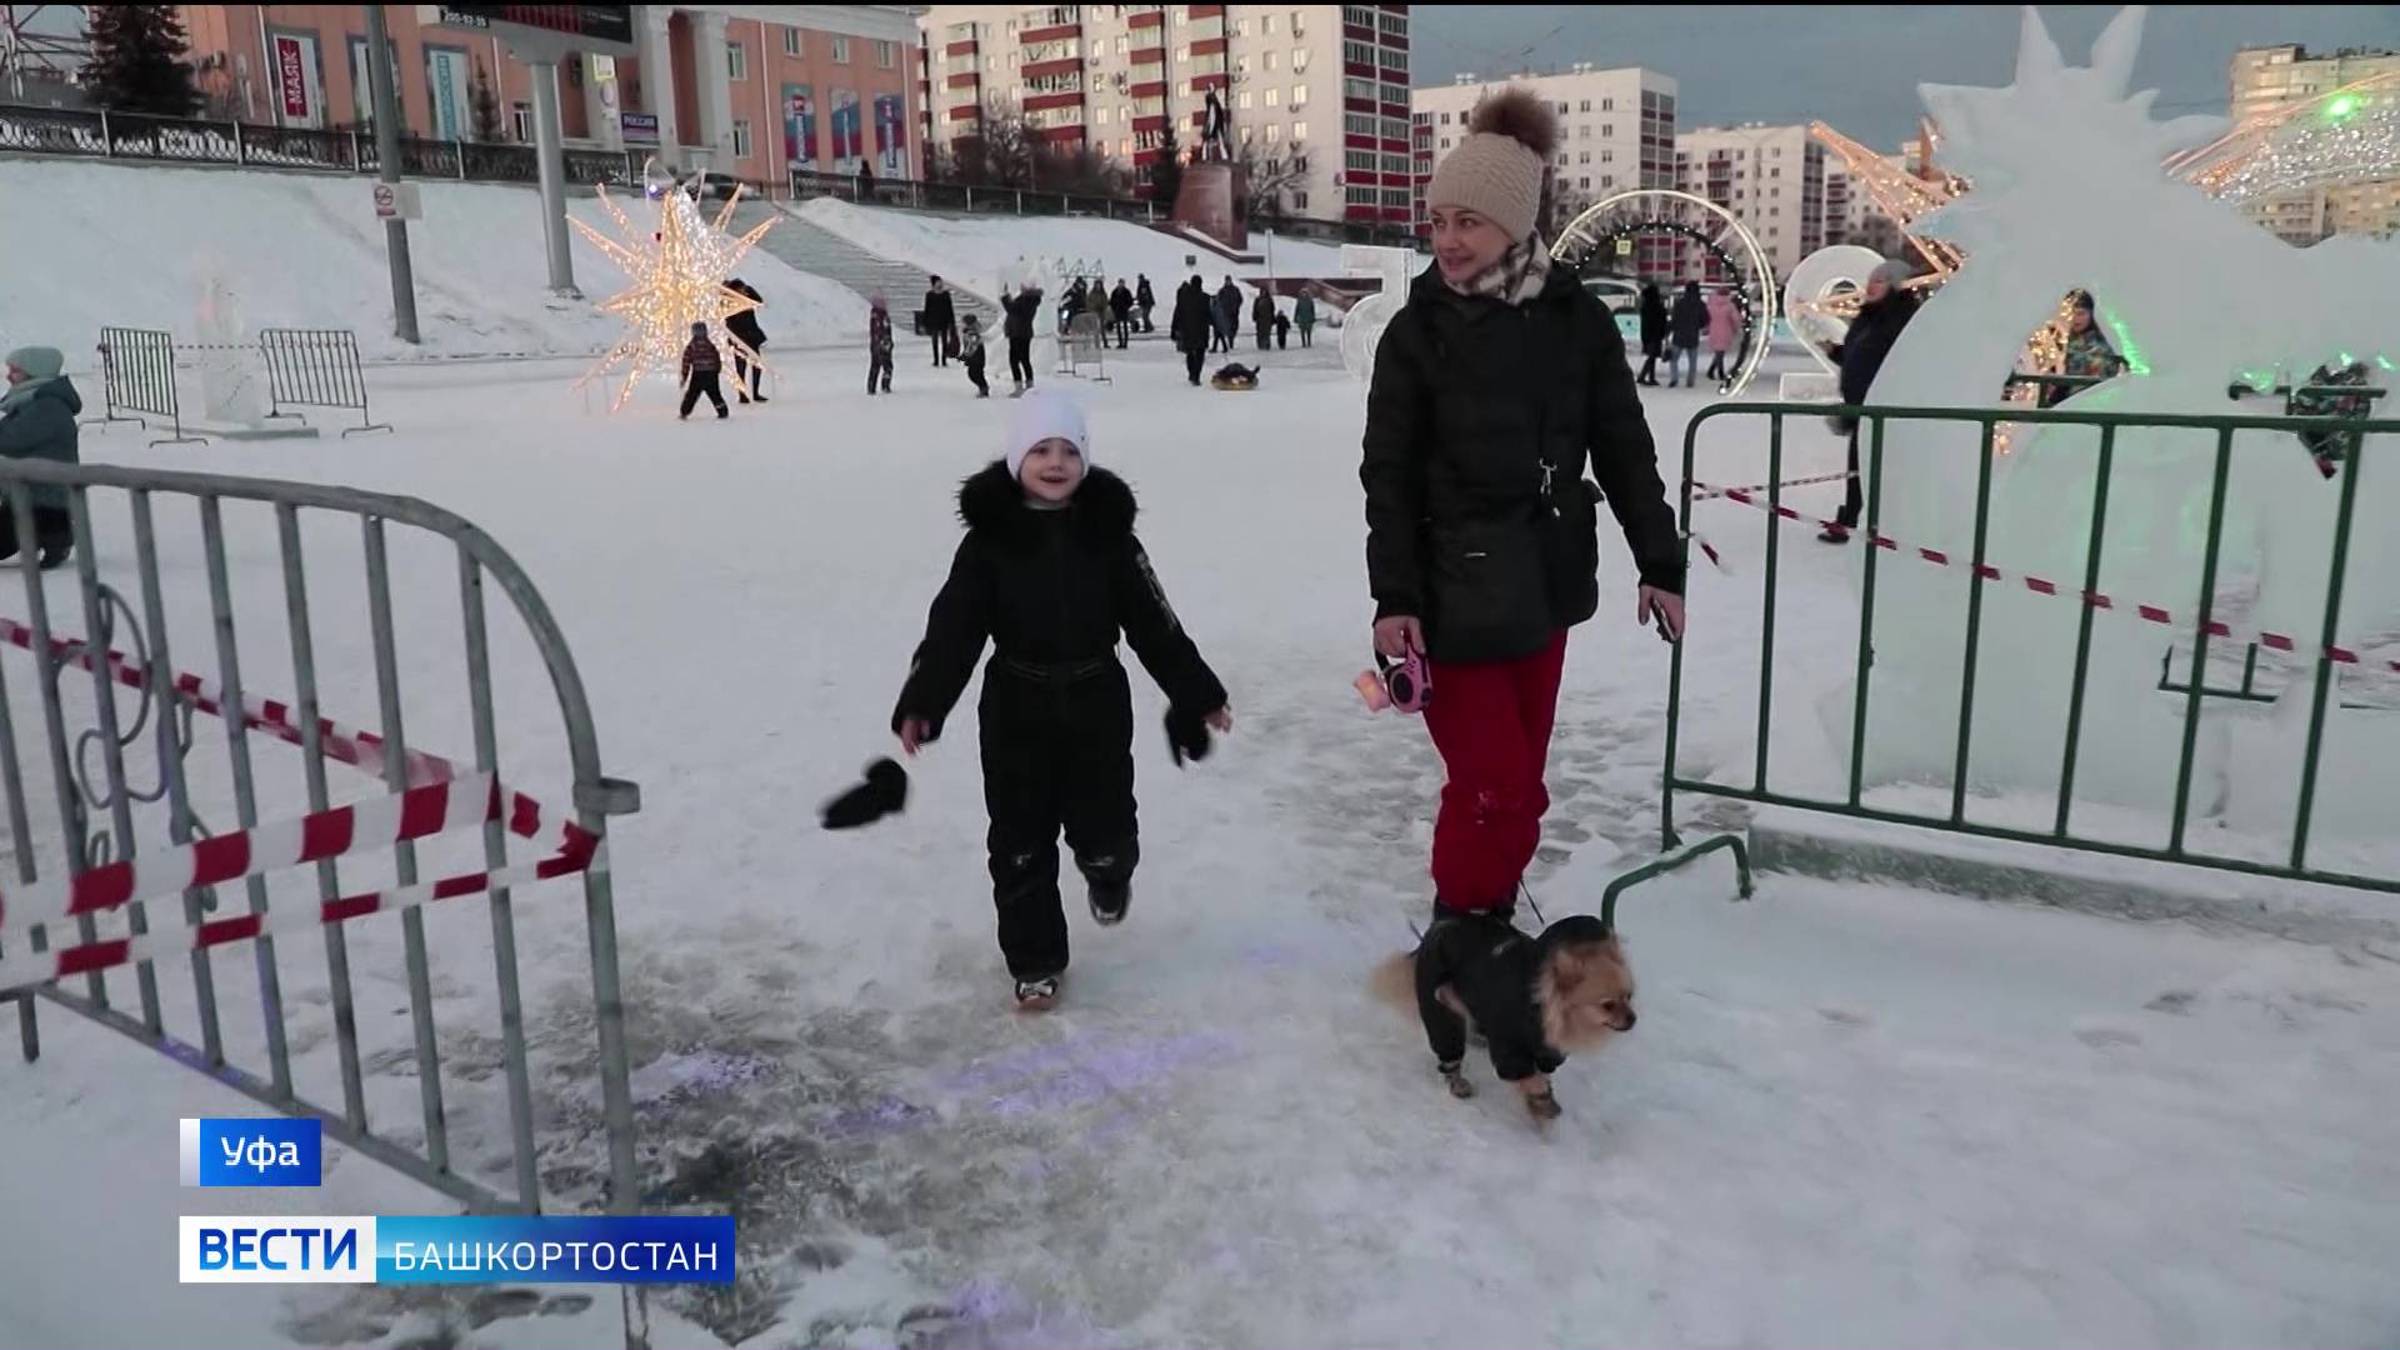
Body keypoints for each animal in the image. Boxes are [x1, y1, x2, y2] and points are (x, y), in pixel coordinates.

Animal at [1382, 908, 1641, 1119]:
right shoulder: (1509, 1049)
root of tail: (1439, 926)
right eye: (1607, 1005)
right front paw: (1541, 1100)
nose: (1633, 1019)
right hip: (1438, 1007)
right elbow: (1529, 1078)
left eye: (1629, 997)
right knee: (1448, 1044)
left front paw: (1540, 1100)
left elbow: (1541, 1075)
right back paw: (1457, 1080)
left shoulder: (1547, 1052)